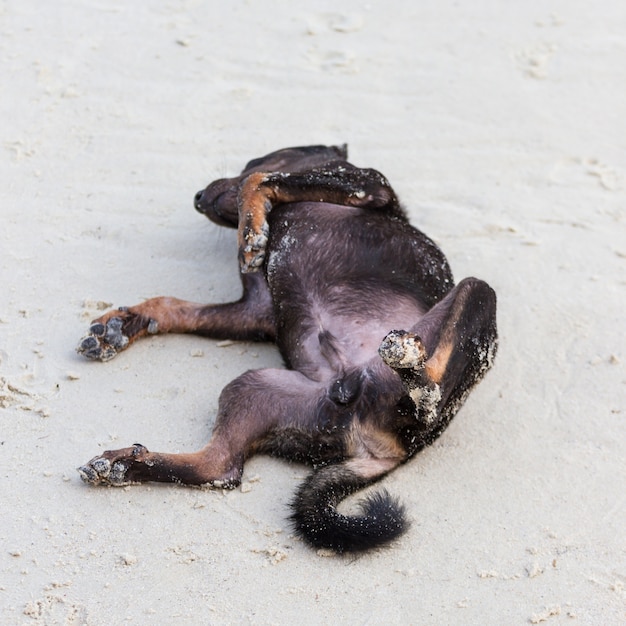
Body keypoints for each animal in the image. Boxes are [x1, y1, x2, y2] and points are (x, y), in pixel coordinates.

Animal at [75, 143, 494, 552]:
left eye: (252, 157)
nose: (197, 197)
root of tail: (392, 452)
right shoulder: (255, 311)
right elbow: (172, 305)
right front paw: (120, 326)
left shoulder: (371, 184)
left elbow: (262, 180)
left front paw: (251, 228)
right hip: (251, 390)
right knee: (220, 469)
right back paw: (123, 466)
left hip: (477, 295)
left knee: (433, 393)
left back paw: (411, 362)